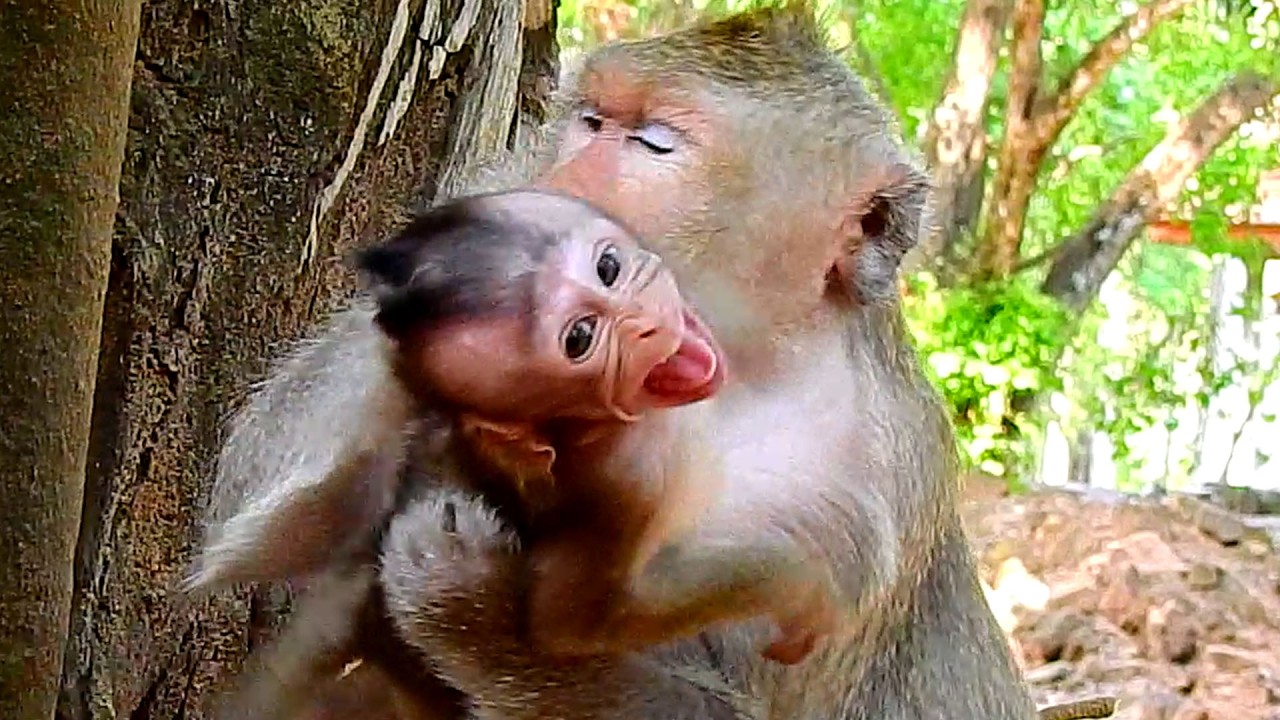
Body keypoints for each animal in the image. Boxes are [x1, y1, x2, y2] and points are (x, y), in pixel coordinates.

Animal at [194, 4, 1040, 720]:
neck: (746, 361)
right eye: (592, 122)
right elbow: (256, 507)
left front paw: (472, 612)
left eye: (655, 141)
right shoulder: (497, 175)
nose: (565, 186)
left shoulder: (871, 506)